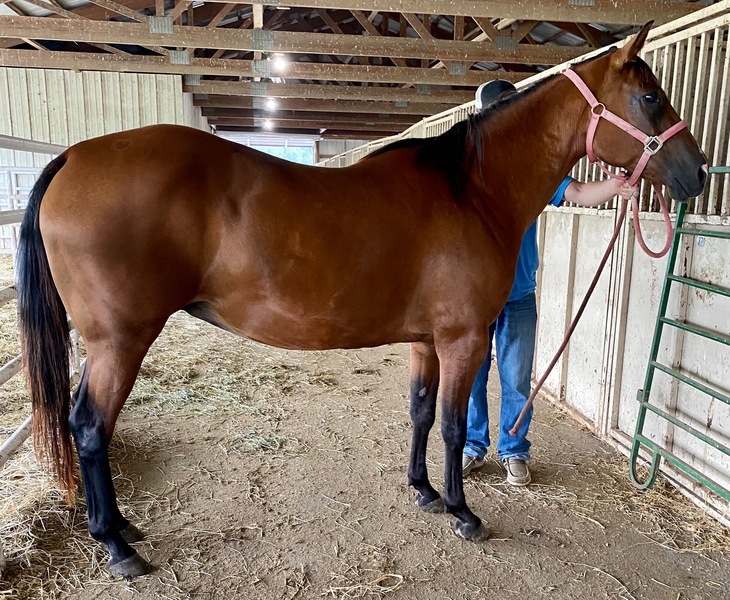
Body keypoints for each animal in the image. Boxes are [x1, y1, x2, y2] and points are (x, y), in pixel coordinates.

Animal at [17, 22, 706, 578]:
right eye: (651, 97)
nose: (698, 173)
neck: (471, 191)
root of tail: (74, 156)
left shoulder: (427, 342)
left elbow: (422, 414)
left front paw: (423, 492)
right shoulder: (463, 340)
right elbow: (453, 425)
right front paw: (462, 512)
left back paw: (124, 529)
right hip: (120, 341)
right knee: (89, 428)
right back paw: (116, 546)